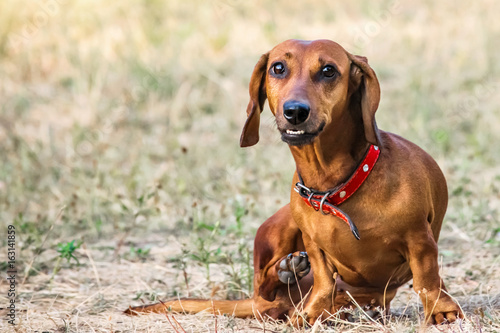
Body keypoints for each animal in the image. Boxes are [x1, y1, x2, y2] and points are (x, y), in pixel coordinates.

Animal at [127, 38, 462, 324]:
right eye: (278, 68)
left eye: (328, 70)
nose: (295, 112)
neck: (335, 186)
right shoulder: (314, 246)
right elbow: (324, 279)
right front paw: (311, 312)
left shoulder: (419, 240)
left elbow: (427, 279)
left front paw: (441, 310)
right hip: (281, 224)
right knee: (265, 286)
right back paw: (289, 272)